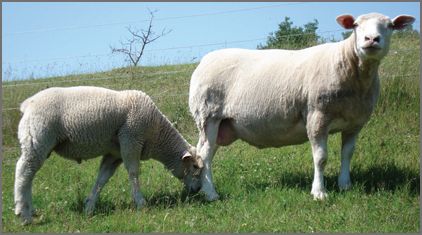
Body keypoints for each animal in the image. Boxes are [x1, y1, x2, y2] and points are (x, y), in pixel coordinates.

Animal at [14, 86, 204, 224]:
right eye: (194, 166)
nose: (197, 190)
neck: (157, 134)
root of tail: (27, 105)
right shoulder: (131, 140)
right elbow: (133, 173)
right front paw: (141, 203)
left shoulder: (114, 154)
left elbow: (102, 179)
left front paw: (89, 206)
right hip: (37, 139)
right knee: (23, 172)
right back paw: (23, 214)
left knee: (29, 175)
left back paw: (29, 210)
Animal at [189, 12, 416, 202]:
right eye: (356, 25)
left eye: (390, 26)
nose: (371, 39)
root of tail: (204, 61)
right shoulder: (318, 116)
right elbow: (321, 158)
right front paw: (319, 192)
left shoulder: (355, 123)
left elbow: (347, 154)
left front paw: (345, 184)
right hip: (208, 115)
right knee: (205, 154)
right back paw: (211, 194)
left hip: (222, 124)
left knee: (203, 153)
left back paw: (202, 187)